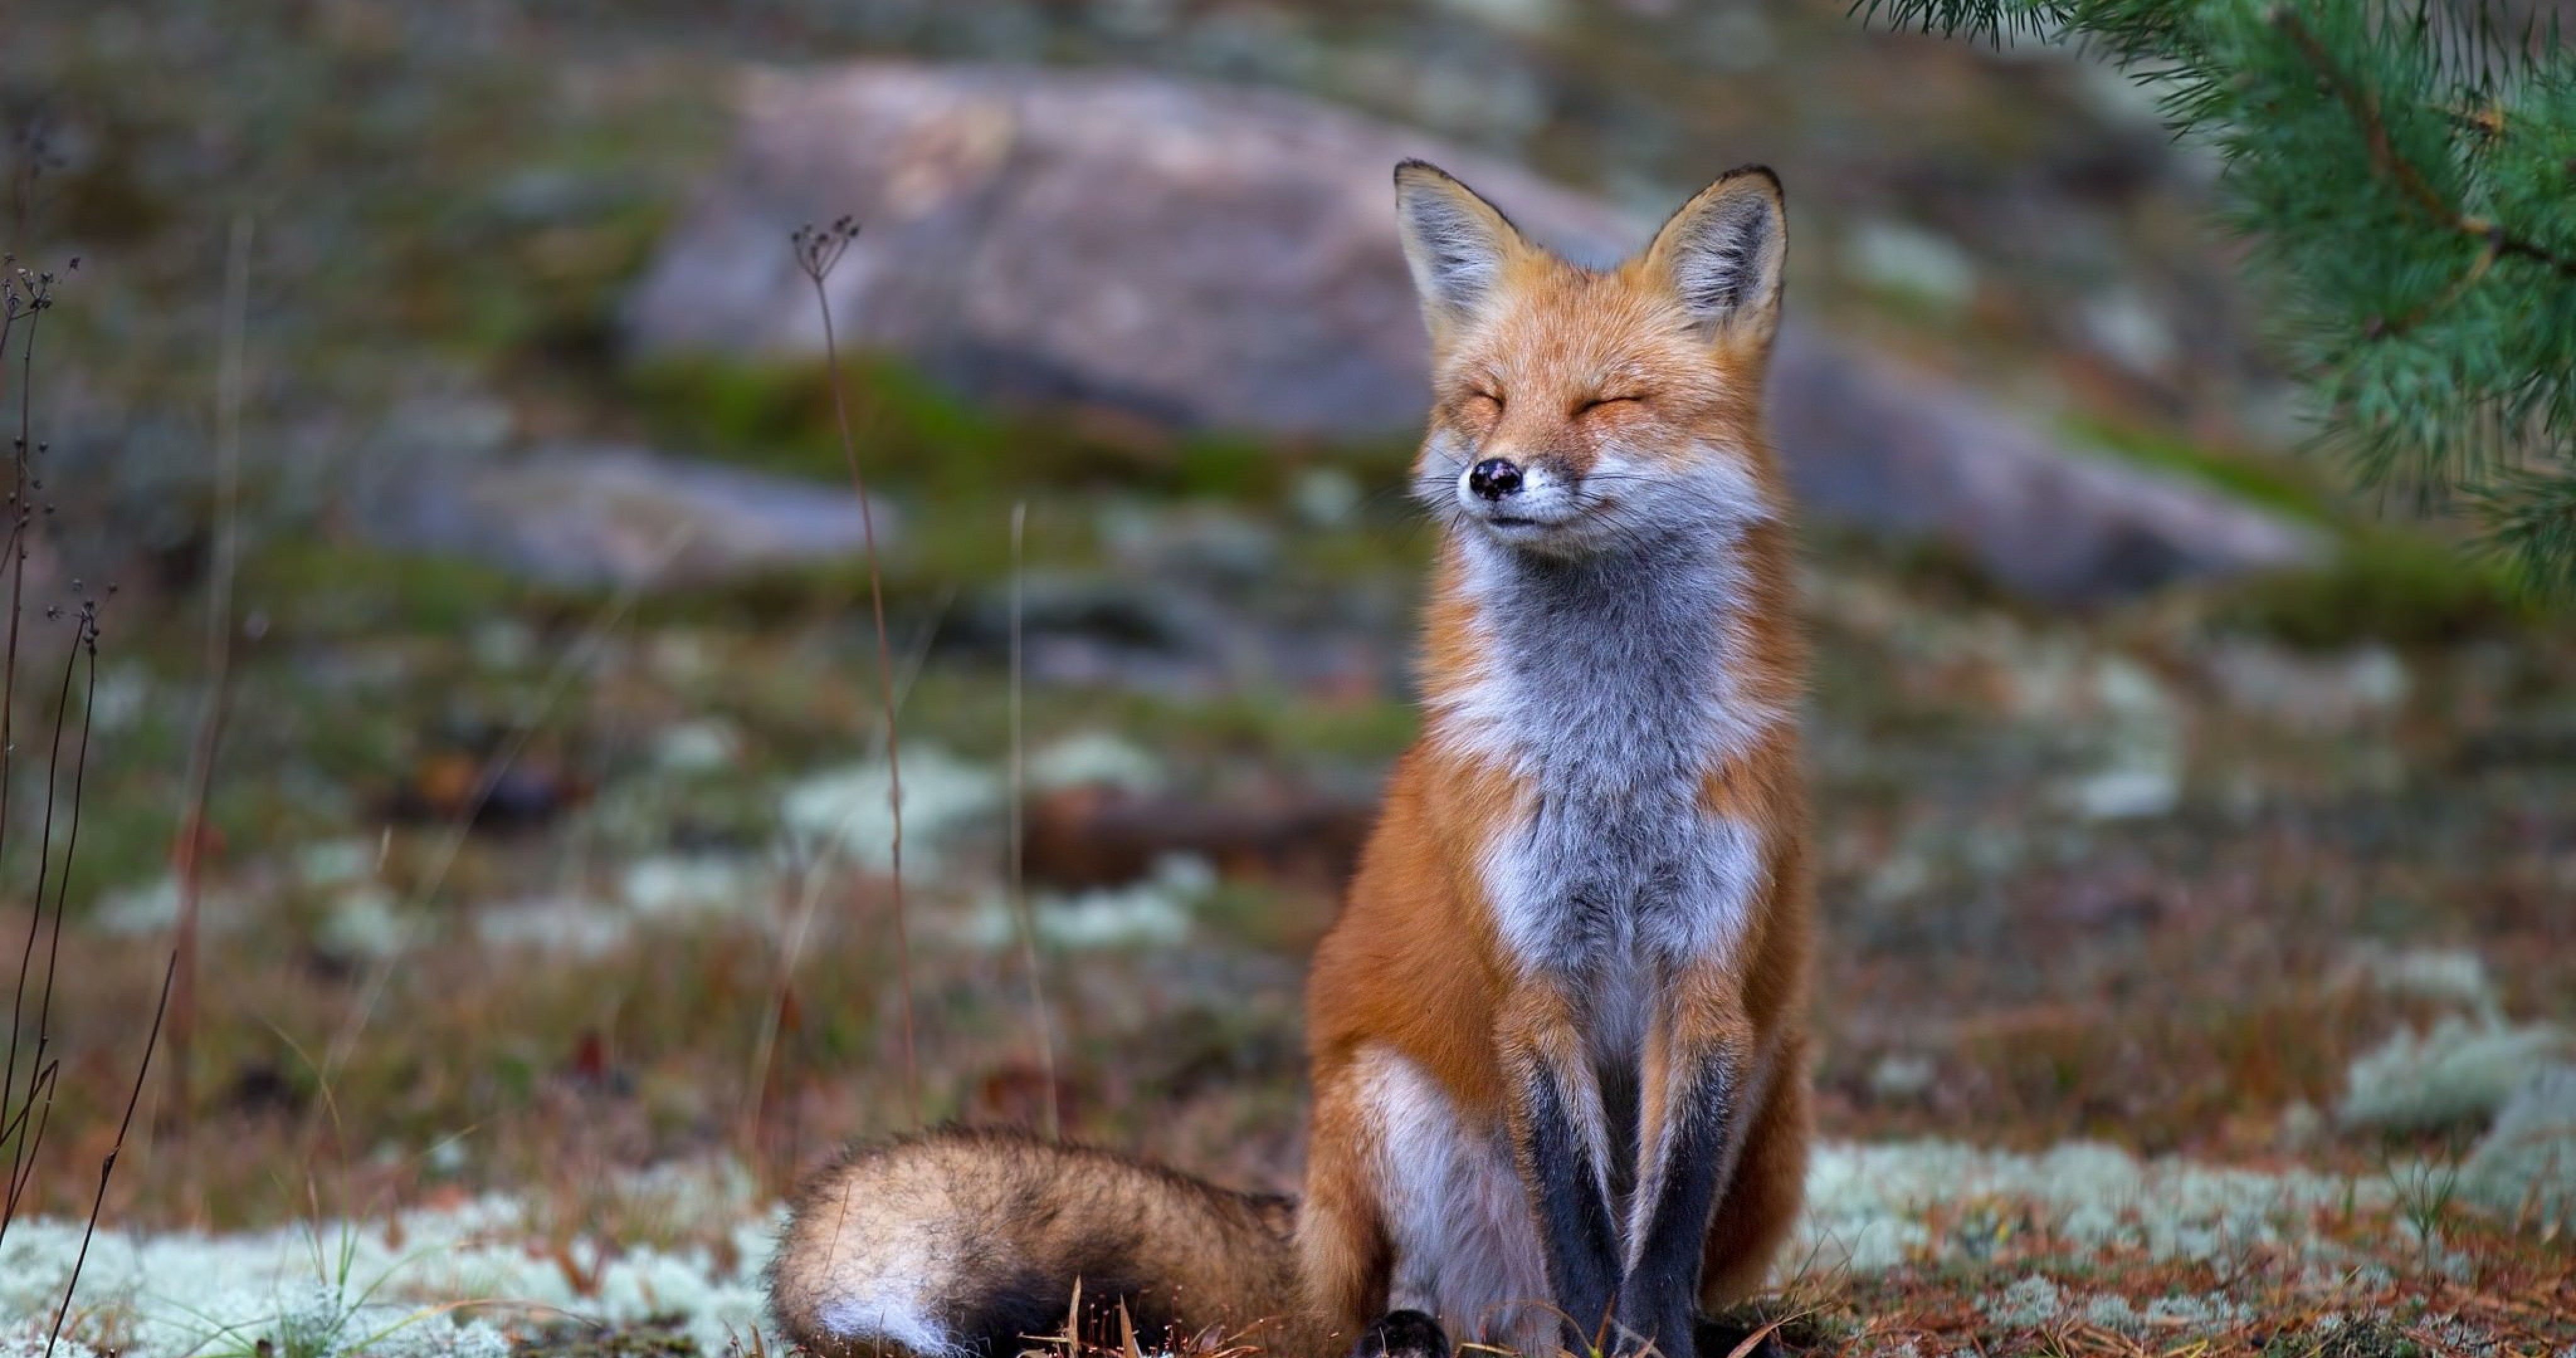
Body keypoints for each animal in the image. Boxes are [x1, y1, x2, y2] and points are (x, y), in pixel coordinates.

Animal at [762, 165, 1813, 1358]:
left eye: (1606, 403)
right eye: (1488, 399)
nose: (1494, 475)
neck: (1613, 764)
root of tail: (1301, 1231)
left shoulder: (1710, 979)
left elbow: (1662, 1227)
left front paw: (1654, 1341)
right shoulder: (1532, 981)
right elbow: (1581, 1226)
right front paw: (1605, 1342)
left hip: (1778, 1091)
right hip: (1381, 1103)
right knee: (1390, 1309)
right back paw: (1415, 1334)